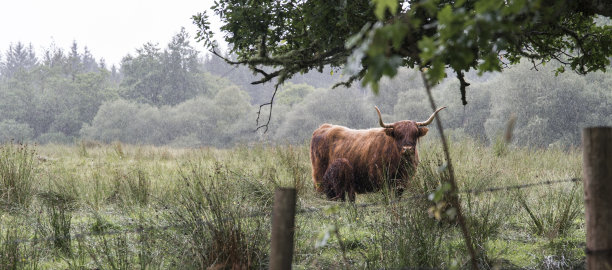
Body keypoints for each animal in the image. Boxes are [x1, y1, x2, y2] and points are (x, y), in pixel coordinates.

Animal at [310, 106, 444, 201]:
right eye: (398, 134)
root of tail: (324, 127)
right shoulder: (381, 180)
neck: (400, 164)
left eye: (415, 133)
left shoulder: (402, 182)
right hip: (321, 179)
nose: (407, 149)